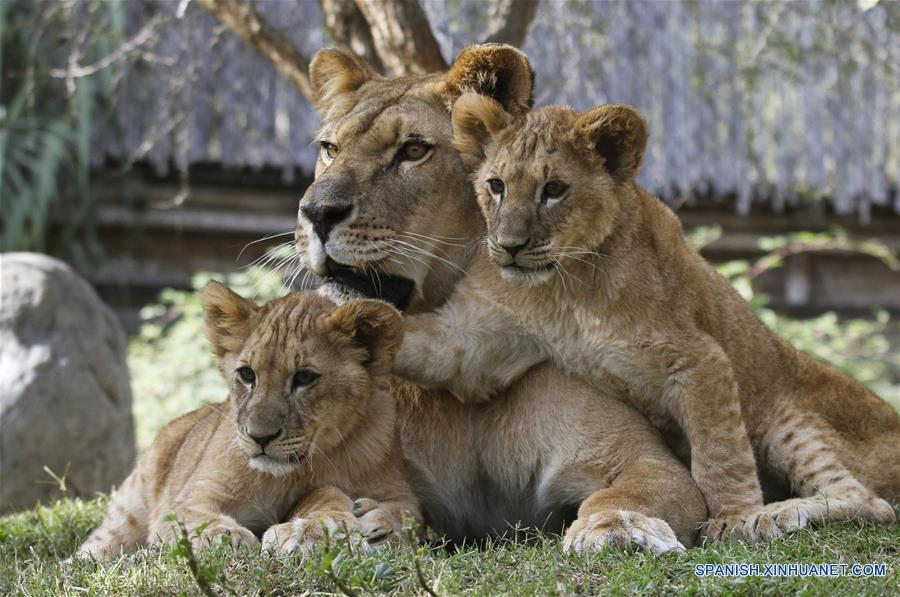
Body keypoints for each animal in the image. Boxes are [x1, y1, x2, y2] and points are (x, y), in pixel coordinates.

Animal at [75, 284, 419, 559]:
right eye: (247, 374)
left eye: (304, 378)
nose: (260, 437)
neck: (290, 475)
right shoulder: (187, 501)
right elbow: (195, 520)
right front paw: (225, 537)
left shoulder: (404, 497)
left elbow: (390, 512)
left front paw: (317, 529)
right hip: (129, 509)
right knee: (96, 546)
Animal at [280, 44, 708, 552]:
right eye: (330, 149)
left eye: (413, 150)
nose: (315, 213)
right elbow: (318, 489)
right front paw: (314, 526)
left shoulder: (644, 458)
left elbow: (637, 489)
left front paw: (619, 526)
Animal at [391, 95, 900, 542]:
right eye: (496, 186)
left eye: (553, 190)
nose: (509, 246)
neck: (566, 286)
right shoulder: (483, 339)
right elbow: (436, 346)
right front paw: (371, 323)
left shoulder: (700, 360)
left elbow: (719, 454)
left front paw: (734, 518)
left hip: (790, 421)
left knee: (871, 503)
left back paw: (776, 515)